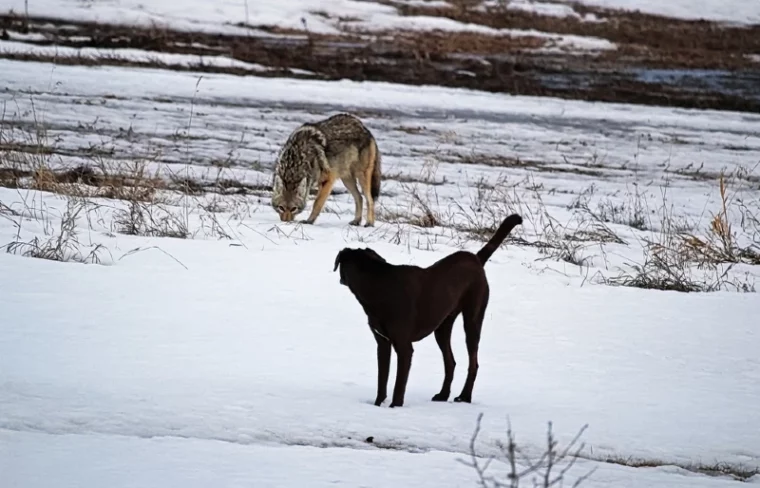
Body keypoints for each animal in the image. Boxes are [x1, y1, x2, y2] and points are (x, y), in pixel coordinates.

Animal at [334, 214, 524, 408]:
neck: (376, 284)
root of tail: (476, 259)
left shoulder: (404, 347)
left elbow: (399, 384)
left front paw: (395, 407)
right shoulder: (383, 343)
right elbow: (382, 380)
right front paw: (378, 404)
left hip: (473, 318)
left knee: (473, 362)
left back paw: (465, 396)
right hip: (443, 326)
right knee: (450, 362)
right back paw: (443, 394)